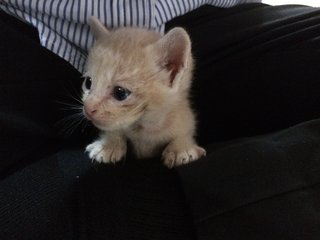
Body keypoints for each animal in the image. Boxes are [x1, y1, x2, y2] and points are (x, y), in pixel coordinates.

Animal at [81, 16, 204, 168]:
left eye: (120, 93)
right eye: (88, 83)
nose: (87, 107)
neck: (144, 129)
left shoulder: (184, 118)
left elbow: (183, 132)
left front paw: (181, 148)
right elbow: (116, 130)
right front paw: (109, 144)